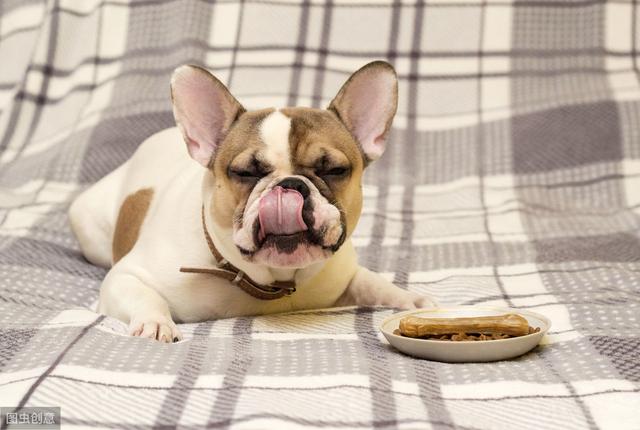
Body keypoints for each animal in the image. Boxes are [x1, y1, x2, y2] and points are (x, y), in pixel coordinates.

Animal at [69, 61, 436, 342]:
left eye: (334, 170)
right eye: (245, 172)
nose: (289, 184)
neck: (274, 284)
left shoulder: (344, 274)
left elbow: (373, 283)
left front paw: (410, 299)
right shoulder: (125, 277)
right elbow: (143, 295)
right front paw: (156, 324)